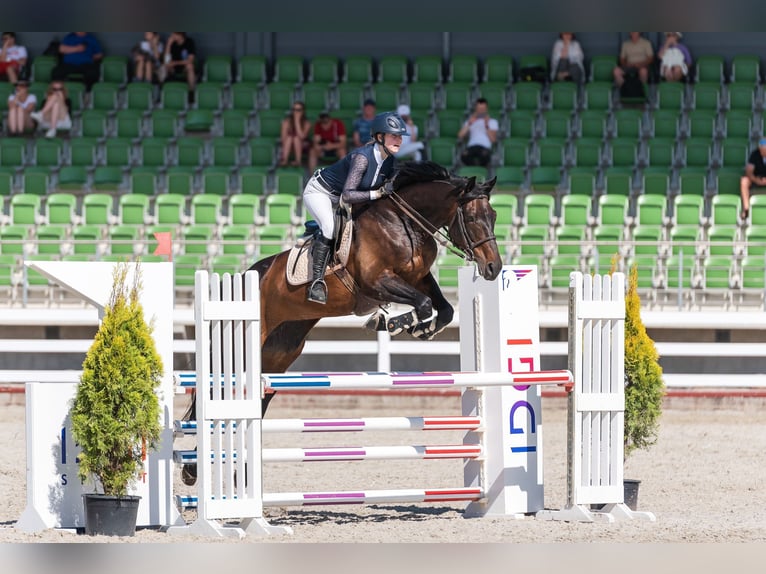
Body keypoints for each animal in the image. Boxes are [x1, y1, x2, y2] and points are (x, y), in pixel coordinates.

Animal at [180, 162, 504, 486]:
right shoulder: (378, 282)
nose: (494, 268)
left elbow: (444, 310)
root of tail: (243, 276)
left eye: (494, 217)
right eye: (472, 218)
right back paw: (194, 469)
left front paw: (418, 327)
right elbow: (423, 304)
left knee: (257, 398)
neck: (403, 223)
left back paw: (221, 469)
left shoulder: (420, 279)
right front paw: (394, 323)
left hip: (278, 354)